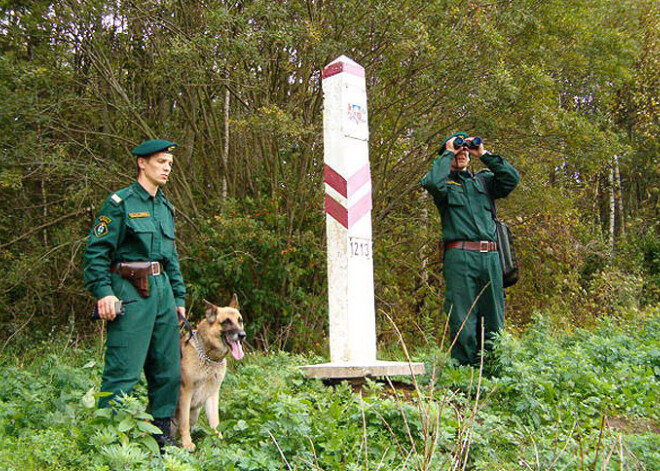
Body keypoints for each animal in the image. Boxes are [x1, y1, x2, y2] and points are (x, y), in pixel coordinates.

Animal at [174, 294, 246, 452]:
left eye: (240, 320)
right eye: (226, 322)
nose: (242, 335)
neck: (210, 357)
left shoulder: (213, 395)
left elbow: (215, 422)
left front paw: (218, 441)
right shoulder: (185, 393)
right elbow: (184, 423)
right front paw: (187, 443)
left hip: (195, 413)